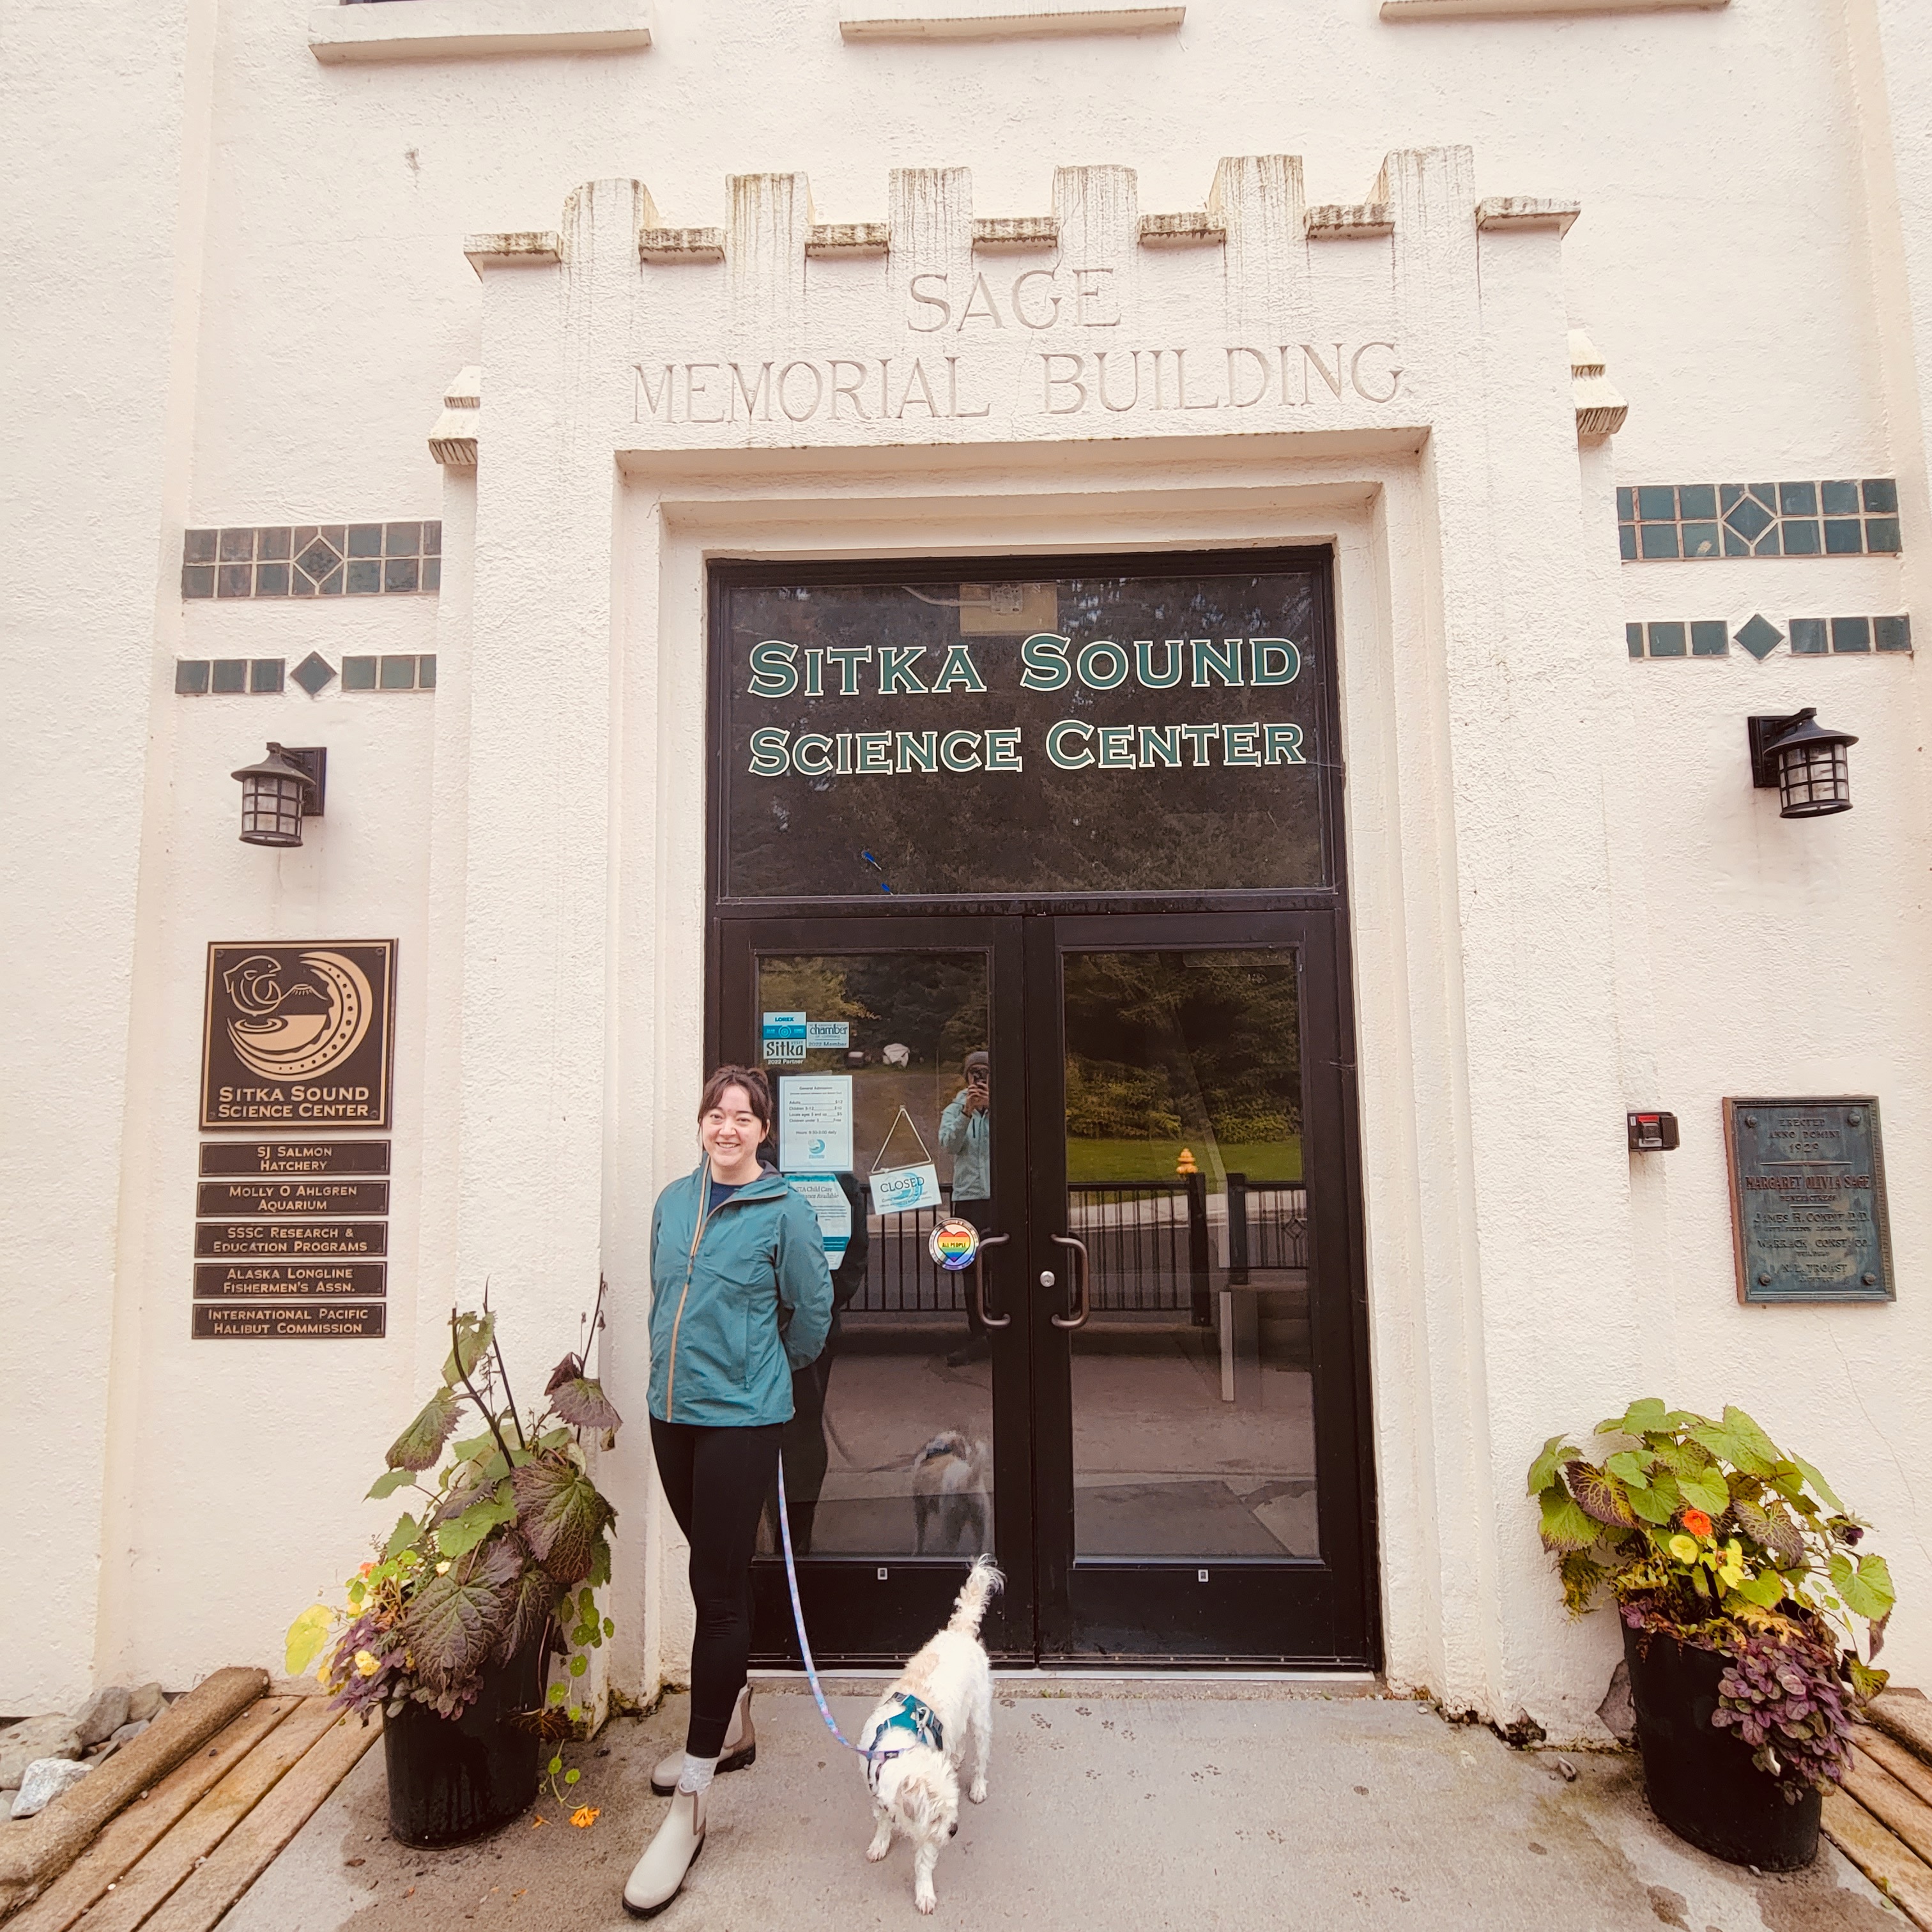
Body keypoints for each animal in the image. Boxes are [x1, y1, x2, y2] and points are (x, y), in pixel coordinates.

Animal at [869, 1545, 1004, 1908]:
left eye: (951, 1812)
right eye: (937, 1816)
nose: (955, 1830)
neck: (900, 1744)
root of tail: (958, 1632)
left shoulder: (927, 1837)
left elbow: (924, 1859)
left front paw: (925, 1891)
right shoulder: (878, 1789)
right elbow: (883, 1819)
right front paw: (880, 1842)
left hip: (980, 1717)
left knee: (981, 1755)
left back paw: (979, 1785)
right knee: (957, 1743)